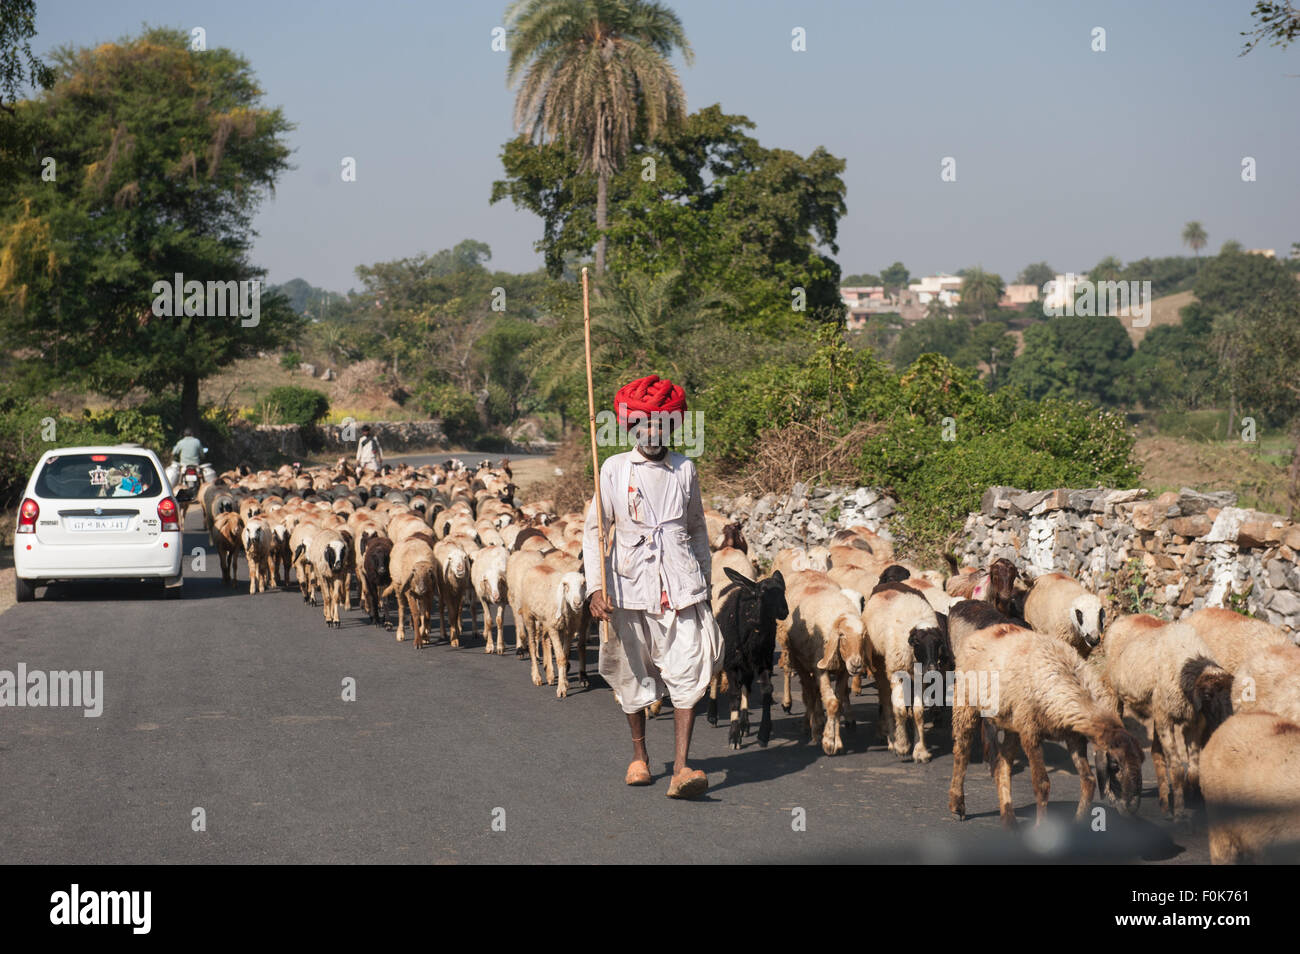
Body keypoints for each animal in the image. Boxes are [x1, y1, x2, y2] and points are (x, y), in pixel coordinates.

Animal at [712, 571, 790, 748]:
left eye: (783, 590)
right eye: (762, 592)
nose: (784, 611)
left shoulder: (764, 662)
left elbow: (766, 690)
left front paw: (763, 734)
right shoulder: (731, 664)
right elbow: (734, 695)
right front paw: (734, 736)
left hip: (747, 664)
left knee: (746, 687)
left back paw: (745, 724)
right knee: (715, 678)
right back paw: (712, 716)